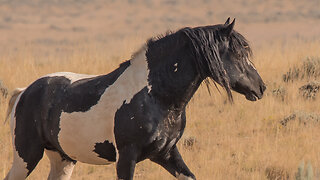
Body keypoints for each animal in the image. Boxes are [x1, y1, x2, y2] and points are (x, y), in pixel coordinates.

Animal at [4, 18, 264, 180]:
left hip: (63, 158)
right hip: (27, 156)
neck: (156, 98)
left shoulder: (167, 153)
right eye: (238, 54)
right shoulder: (127, 157)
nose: (261, 88)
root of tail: (25, 91)